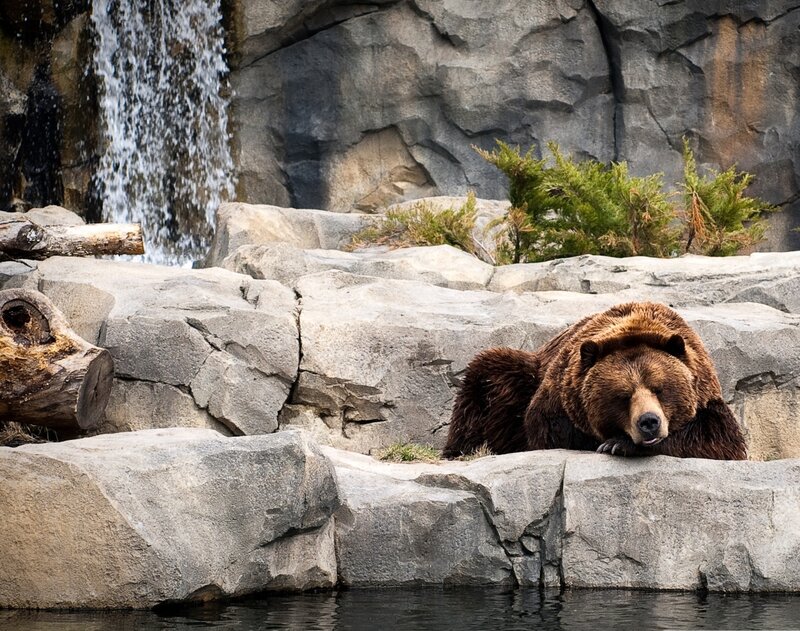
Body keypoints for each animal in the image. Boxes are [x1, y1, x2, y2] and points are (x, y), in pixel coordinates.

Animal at [443, 302, 747, 460]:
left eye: (660, 389)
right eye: (623, 395)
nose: (649, 422)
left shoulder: (706, 395)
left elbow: (719, 439)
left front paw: (618, 444)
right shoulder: (559, 396)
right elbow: (549, 430)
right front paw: (613, 442)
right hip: (521, 376)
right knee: (487, 377)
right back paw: (459, 449)